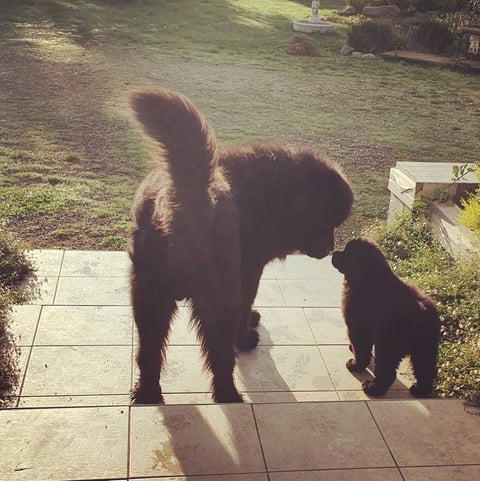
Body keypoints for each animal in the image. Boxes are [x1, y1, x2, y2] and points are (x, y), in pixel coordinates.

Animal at [127, 89, 352, 402]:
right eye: (324, 222)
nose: (331, 248)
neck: (271, 194)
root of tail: (191, 195)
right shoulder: (250, 272)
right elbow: (247, 306)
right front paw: (246, 335)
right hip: (215, 298)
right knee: (220, 358)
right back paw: (230, 395)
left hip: (149, 298)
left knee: (149, 354)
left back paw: (148, 394)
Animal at [332, 236, 440, 398]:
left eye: (347, 253)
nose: (332, 253)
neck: (369, 278)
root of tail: (422, 315)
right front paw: (352, 349)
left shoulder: (358, 326)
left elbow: (361, 349)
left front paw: (355, 364)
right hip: (424, 348)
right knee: (425, 370)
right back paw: (420, 391)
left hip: (387, 343)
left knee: (387, 372)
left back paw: (372, 388)